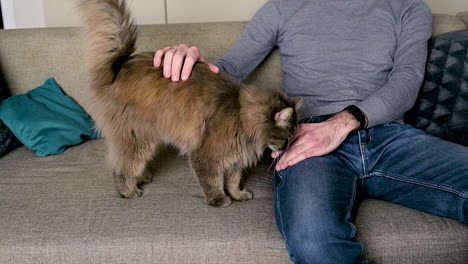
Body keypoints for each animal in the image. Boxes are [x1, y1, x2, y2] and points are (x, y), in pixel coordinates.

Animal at [79, 0, 302, 206]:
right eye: (288, 137)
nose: (287, 148)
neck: (241, 114)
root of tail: (120, 66)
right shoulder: (206, 156)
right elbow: (213, 181)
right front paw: (220, 200)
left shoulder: (236, 160)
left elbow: (233, 180)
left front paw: (238, 195)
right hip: (138, 139)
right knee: (122, 168)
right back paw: (130, 191)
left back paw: (142, 177)